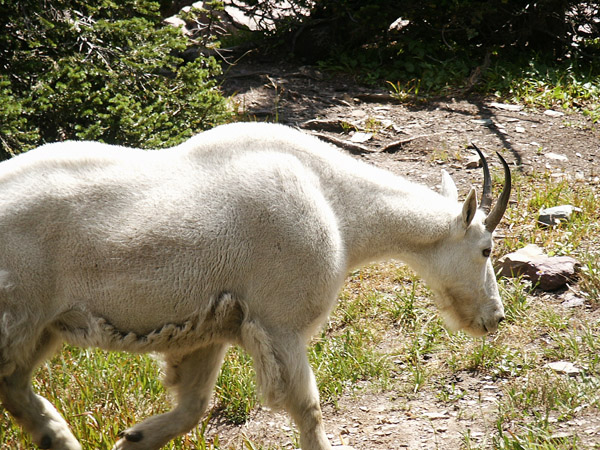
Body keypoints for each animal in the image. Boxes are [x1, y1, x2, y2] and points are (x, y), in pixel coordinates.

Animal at [0, 121, 510, 448]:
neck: (339, 206)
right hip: (18, 311)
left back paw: (58, 439)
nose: (495, 317)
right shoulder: (279, 322)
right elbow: (308, 407)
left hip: (44, 325)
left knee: (14, 384)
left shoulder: (209, 325)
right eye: (486, 249)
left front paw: (135, 438)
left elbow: (194, 405)